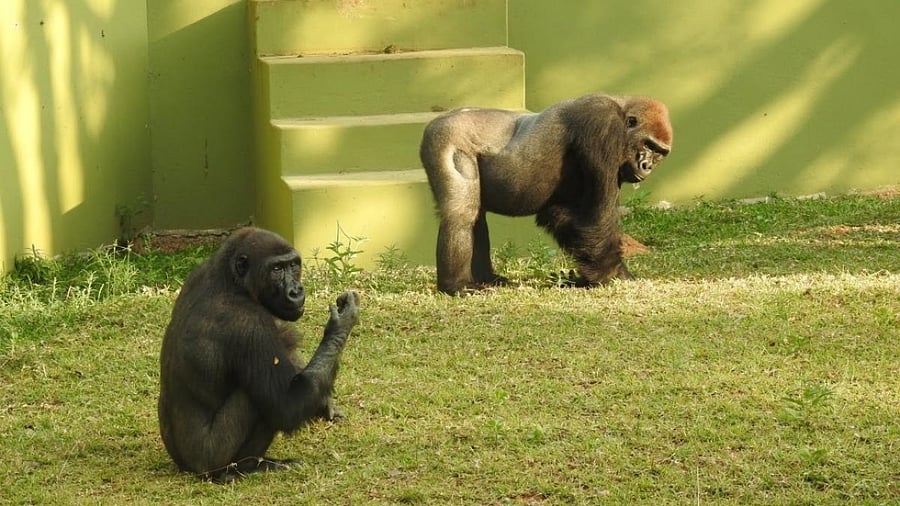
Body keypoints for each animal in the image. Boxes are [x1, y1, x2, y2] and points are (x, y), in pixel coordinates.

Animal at [158, 227, 360, 482]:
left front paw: (324, 403)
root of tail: (184, 467)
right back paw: (246, 467)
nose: (296, 291)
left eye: (294, 265)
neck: (232, 281)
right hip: (209, 462)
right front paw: (340, 325)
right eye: (276, 269)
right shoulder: (250, 324)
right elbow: (286, 404)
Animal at [419, 93, 672, 294]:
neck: (621, 108)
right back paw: (455, 285)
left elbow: (562, 216)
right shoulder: (603, 124)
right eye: (648, 145)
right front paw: (613, 275)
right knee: (462, 214)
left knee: (476, 217)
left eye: (659, 153)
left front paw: (582, 278)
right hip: (445, 138)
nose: (647, 166)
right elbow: (598, 218)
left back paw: (488, 278)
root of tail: (436, 121)